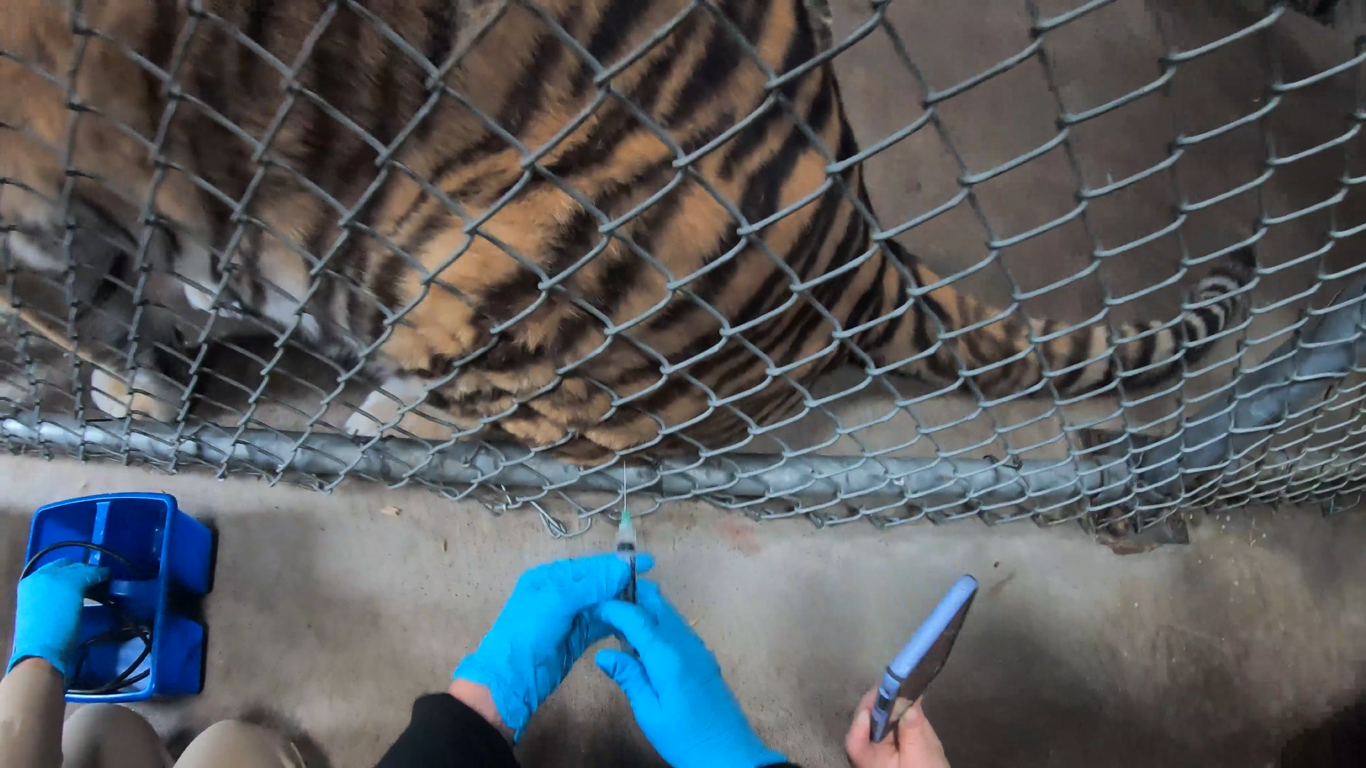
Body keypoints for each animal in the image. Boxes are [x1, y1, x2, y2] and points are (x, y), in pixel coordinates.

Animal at [0, 0, 1255, 465]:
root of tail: (856, 238)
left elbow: (95, 300)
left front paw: (126, 390)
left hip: (476, 253)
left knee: (489, 406)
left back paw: (375, 414)